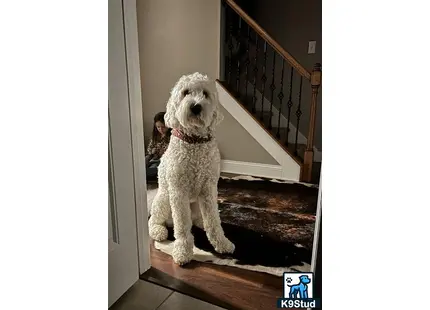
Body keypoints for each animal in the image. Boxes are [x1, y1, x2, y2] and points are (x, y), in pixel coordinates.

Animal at [149, 72, 235, 264]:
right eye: (186, 92)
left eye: (205, 94)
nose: (196, 107)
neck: (194, 141)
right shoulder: (178, 191)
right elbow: (182, 227)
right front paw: (182, 251)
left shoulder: (209, 189)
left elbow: (213, 222)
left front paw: (222, 243)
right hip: (164, 199)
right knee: (155, 220)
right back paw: (159, 231)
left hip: (197, 203)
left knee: (200, 219)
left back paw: (201, 222)